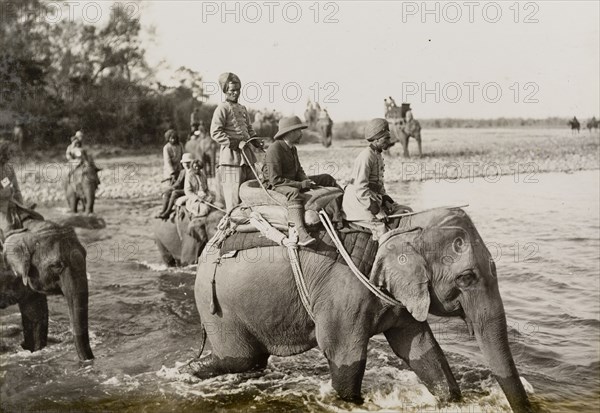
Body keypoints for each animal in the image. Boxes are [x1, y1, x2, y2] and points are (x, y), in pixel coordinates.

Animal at [190, 209, 532, 412]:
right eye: (466, 278)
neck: (400, 228)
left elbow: (421, 349)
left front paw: (451, 401)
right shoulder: (343, 295)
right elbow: (345, 357)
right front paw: (352, 403)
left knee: (252, 361)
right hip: (217, 305)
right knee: (240, 359)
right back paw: (191, 372)